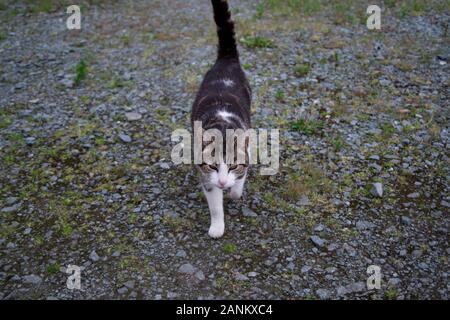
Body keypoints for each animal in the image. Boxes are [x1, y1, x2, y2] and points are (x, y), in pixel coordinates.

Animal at [191, 0, 251, 238]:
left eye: (233, 166)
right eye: (213, 166)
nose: (224, 181)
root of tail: (226, 59)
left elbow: (240, 180)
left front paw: (234, 191)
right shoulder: (206, 176)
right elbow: (215, 205)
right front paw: (217, 227)